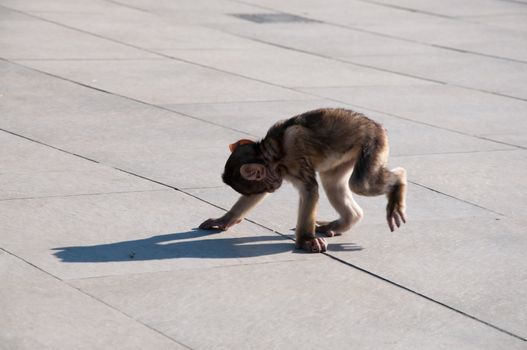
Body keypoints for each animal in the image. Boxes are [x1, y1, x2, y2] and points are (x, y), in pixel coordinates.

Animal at [199, 108, 408, 253]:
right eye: (267, 186)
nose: (274, 187)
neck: (275, 153)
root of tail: (377, 126)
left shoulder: (295, 152)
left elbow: (309, 189)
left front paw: (306, 240)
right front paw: (224, 220)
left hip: (373, 143)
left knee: (360, 183)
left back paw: (399, 180)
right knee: (332, 183)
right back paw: (344, 221)